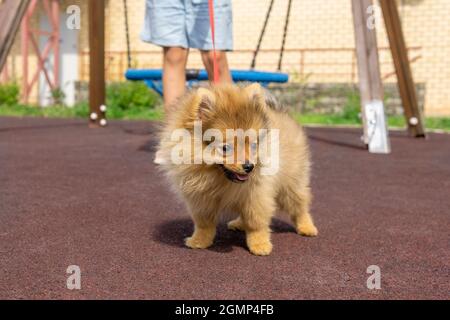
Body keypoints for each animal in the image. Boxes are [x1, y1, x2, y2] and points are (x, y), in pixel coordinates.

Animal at [157, 82, 316, 255]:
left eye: (253, 145)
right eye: (225, 148)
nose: (249, 166)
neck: (218, 179)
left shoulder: (256, 195)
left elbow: (256, 222)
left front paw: (260, 244)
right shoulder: (201, 199)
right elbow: (204, 223)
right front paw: (199, 241)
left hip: (291, 184)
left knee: (299, 206)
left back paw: (307, 227)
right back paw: (239, 224)